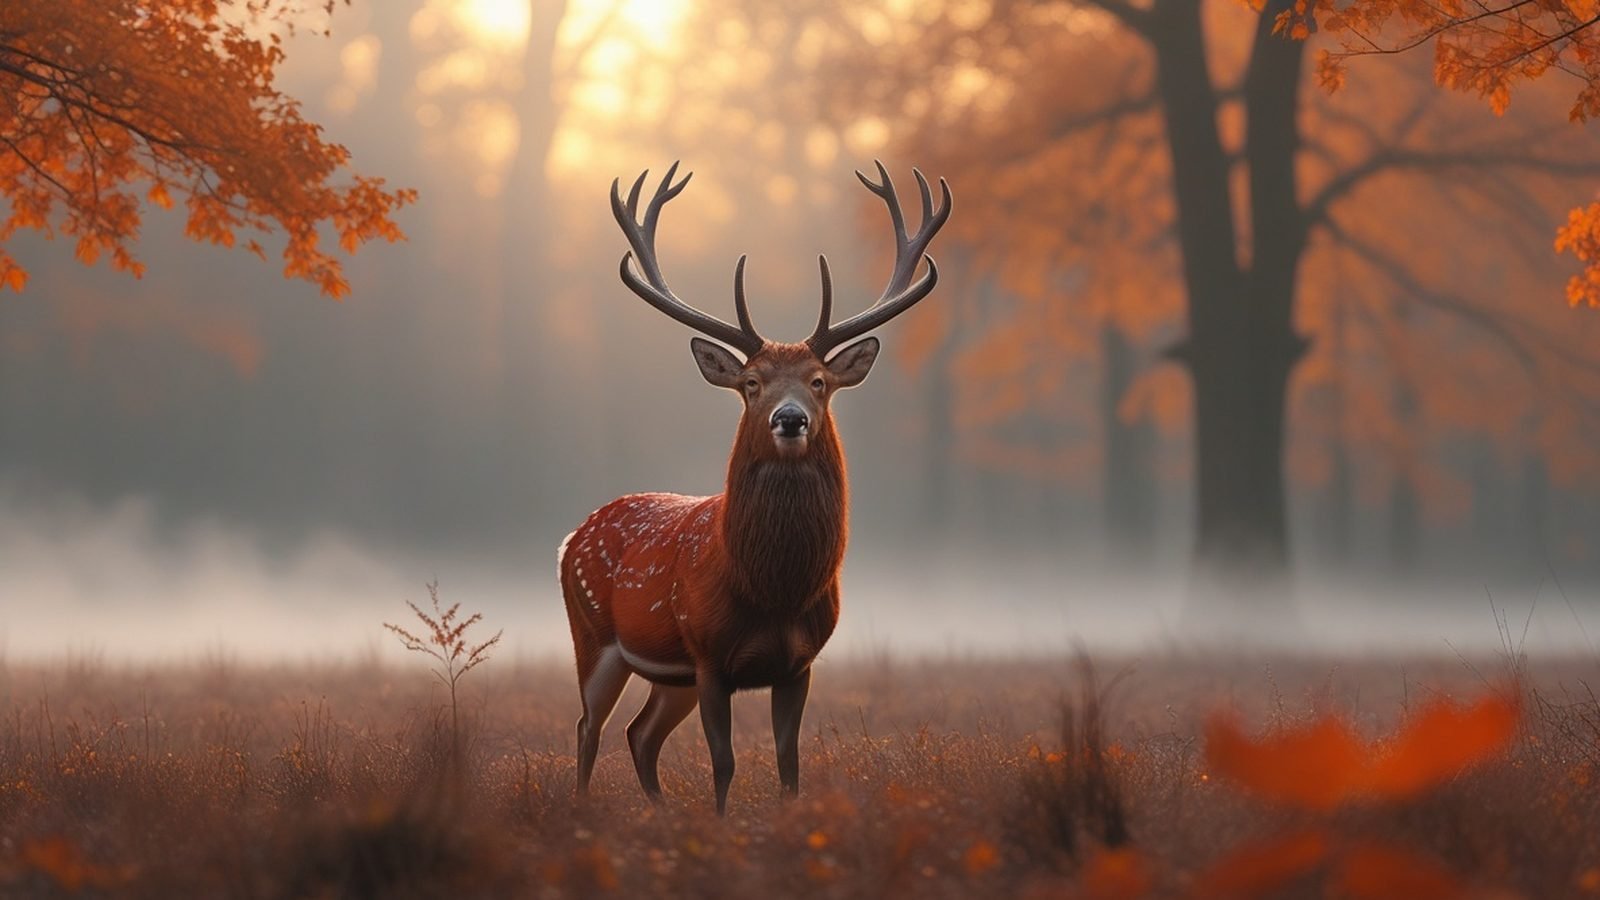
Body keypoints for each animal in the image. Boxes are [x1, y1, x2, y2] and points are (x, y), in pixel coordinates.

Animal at [558, 160, 951, 815]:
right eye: (750, 382)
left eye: (818, 382)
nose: (789, 419)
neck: (771, 590)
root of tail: (571, 537)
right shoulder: (710, 655)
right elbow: (725, 763)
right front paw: (721, 826)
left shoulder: (799, 663)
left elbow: (790, 764)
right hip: (594, 634)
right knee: (591, 726)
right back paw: (584, 806)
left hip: (672, 676)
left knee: (639, 734)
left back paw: (659, 813)